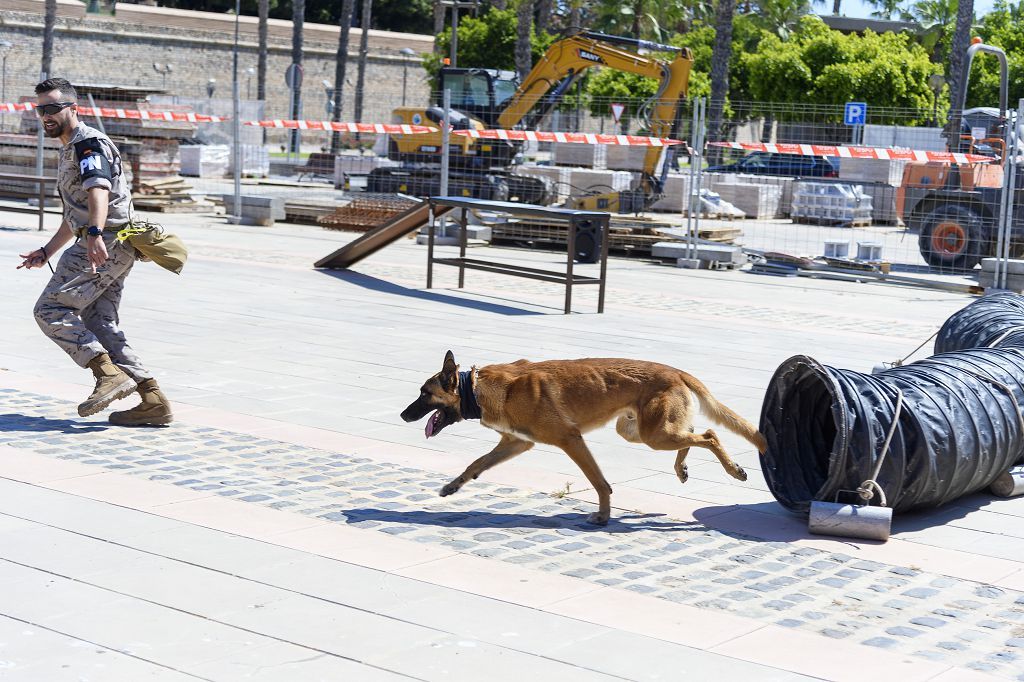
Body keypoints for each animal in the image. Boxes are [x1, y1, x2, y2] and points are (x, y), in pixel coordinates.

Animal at [403, 350, 765, 524]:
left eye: (424, 394)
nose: (404, 415)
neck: (478, 388)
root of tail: (676, 371)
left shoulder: (570, 440)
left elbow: (599, 483)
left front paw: (603, 517)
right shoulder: (517, 442)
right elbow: (476, 463)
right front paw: (453, 486)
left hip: (655, 435)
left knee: (710, 434)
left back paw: (733, 469)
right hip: (639, 432)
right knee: (692, 433)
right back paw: (682, 468)